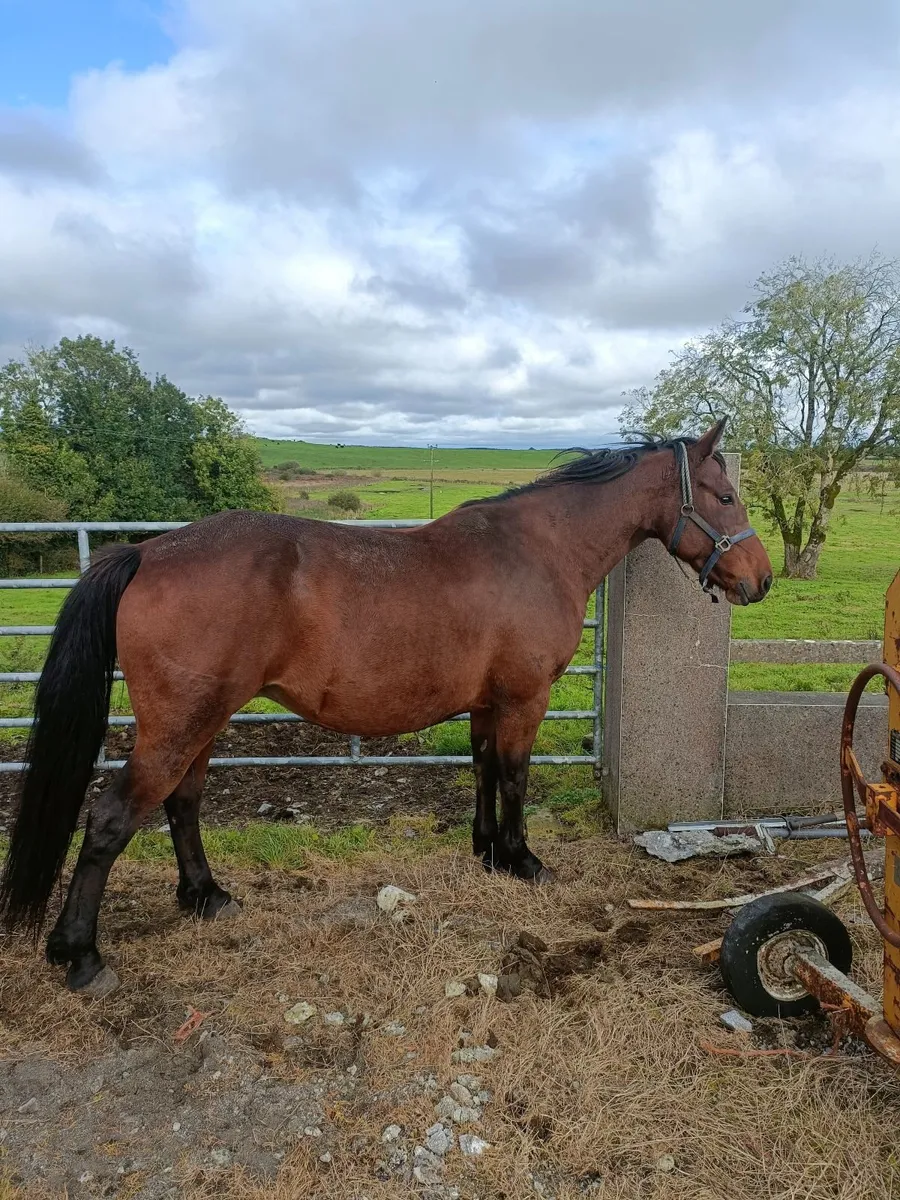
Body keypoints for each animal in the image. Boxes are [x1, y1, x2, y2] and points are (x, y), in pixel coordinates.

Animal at [0, 419, 772, 996]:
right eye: (724, 495)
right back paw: (81, 956)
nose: (761, 579)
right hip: (180, 724)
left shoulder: (486, 702)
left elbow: (483, 768)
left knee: (182, 803)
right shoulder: (524, 698)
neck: (537, 548)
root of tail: (148, 551)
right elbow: (515, 775)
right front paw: (523, 860)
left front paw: (486, 852)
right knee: (111, 818)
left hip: (206, 721)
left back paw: (207, 897)